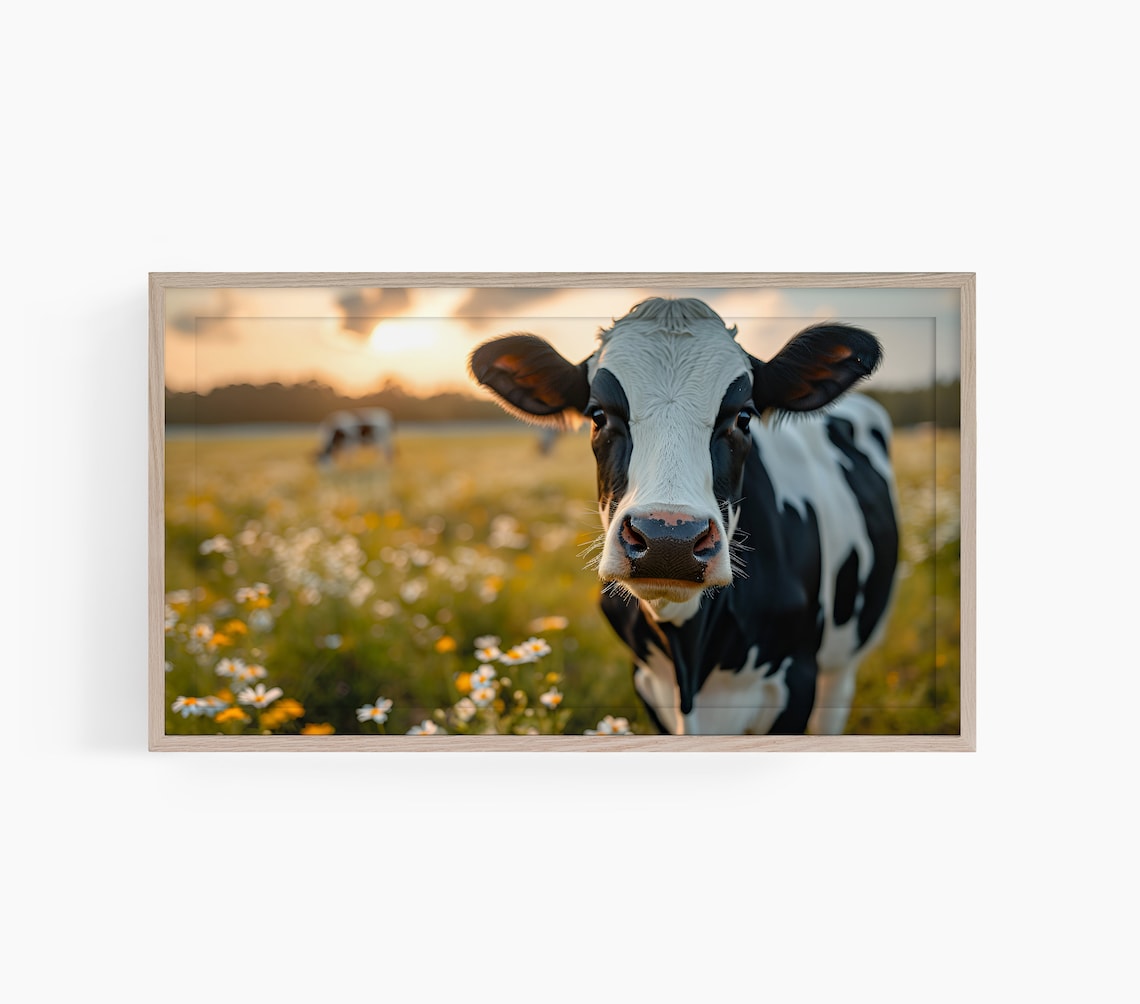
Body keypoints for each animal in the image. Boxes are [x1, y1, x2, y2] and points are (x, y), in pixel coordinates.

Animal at [469, 297, 899, 736]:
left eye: (744, 417)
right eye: (598, 415)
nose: (668, 540)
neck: (688, 653)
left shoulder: (797, 678)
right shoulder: (647, 681)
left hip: (844, 656)